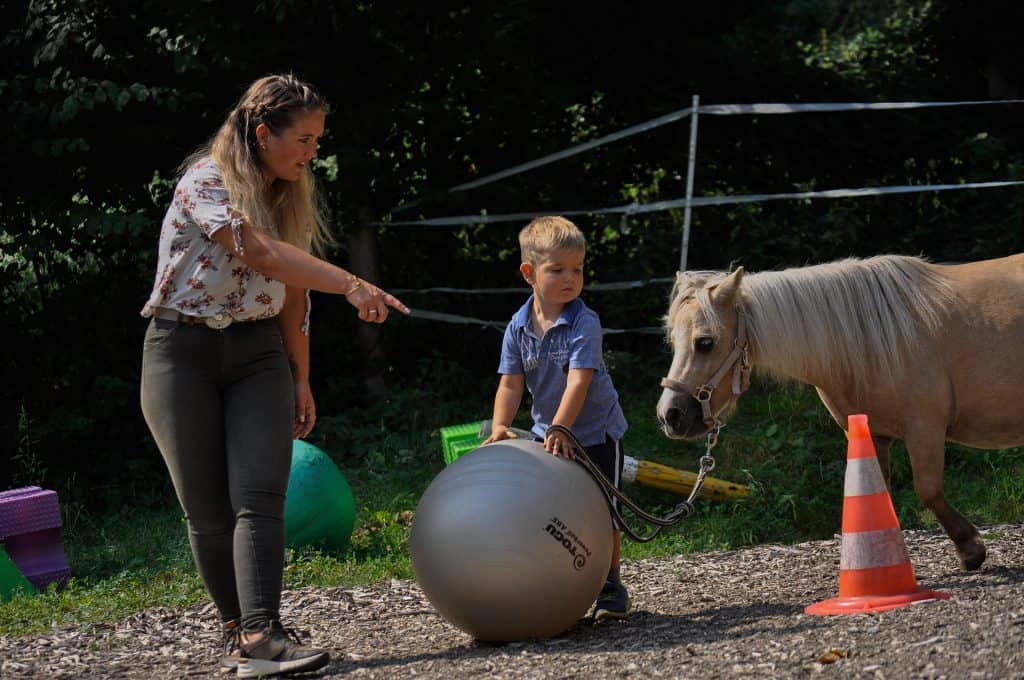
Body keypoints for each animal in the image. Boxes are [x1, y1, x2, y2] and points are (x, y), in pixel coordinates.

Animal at [655, 251, 1024, 569]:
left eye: (705, 342)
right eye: (672, 340)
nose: (670, 415)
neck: (869, 341)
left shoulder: (925, 430)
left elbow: (928, 490)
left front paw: (970, 549)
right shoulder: (872, 435)